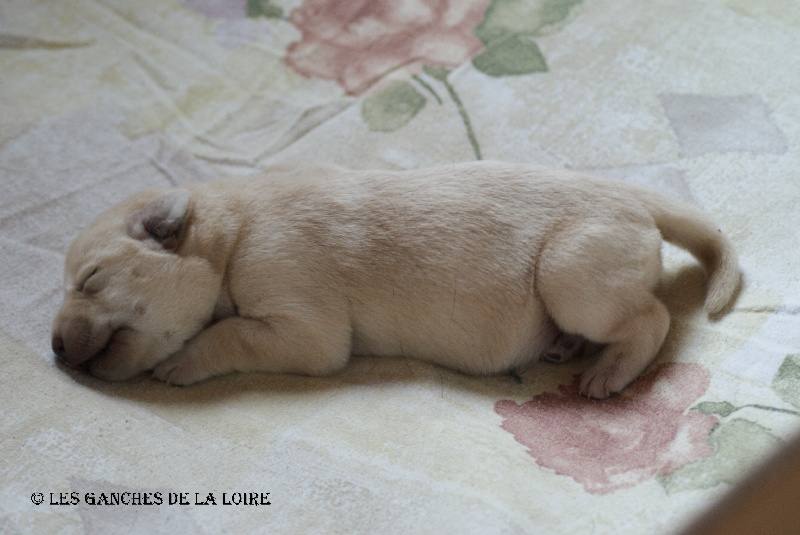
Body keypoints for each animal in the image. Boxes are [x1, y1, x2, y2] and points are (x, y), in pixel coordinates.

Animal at [51, 162, 740, 398]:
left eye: (90, 278)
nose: (55, 348)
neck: (229, 231)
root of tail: (635, 199)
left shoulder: (301, 320)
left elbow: (230, 335)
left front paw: (181, 362)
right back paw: (566, 346)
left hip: (571, 273)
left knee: (650, 317)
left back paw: (609, 371)